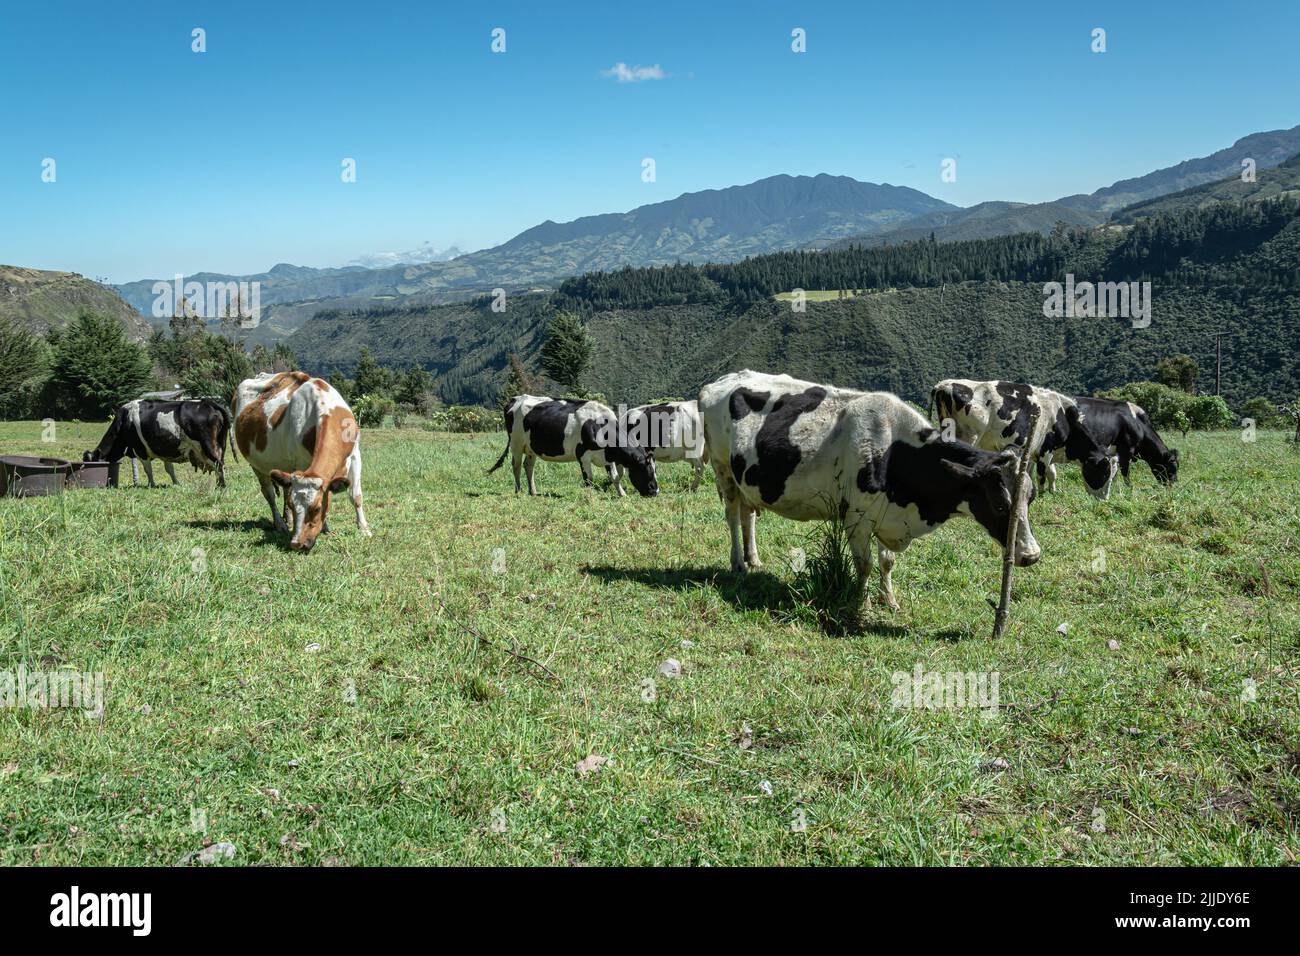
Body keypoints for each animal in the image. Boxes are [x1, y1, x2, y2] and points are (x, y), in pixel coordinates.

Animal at [83, 398, 235, 489]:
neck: (124, 421)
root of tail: (207, 403)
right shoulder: (166, 451)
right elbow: (169, 469)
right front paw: (176, 483)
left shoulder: (140, 451)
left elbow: (148, 470)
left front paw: (152, 484)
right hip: (220, 445)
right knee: (220, 465)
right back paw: (219, 484)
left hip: (206, 445)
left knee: (218, 464)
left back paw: (221, 486)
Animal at [232, 374, 371, 554]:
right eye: (293, 505)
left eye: (317, 508)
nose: (296, 544)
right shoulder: (301, 462)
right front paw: (325, 526)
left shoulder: (355, 456)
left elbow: (356, 496)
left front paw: (364, 529)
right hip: (256, 465)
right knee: (269, 493)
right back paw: (281, 524)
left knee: (285, 487)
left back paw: (288, 520)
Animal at [488, 398, 660, 502]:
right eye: (647, 470)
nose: (655, 491)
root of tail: (516, 398)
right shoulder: (583, 456)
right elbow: (589, 480)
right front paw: (590, 498)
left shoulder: (608, 457)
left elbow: (615, 477)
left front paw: (622, 493)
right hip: (516, 444)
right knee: (516, 466)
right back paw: (519, 490)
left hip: (531, 448)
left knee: (528, 466)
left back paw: (533, 491)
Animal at [696, 369, 1040, 608]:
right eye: (999, 503)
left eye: (1029, 499)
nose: (1032, 555)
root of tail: (721, 381)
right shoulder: (857, 518)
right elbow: (864, 565)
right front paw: (859, 603)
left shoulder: (887, 513)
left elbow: (887, 562)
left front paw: (890, 601)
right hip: (723, 470)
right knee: (732, 515)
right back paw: (739, 563)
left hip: (745, 478)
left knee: (748, 515)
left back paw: (753, 559)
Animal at [925, 379, 1118, 502]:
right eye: (1105, 473)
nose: (1104, 500)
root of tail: (944, 384)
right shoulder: (1045, 451)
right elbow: (1042, 475)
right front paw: (1042, 496)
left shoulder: (1033, 451)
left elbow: (1044, 474)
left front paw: (1048, 492)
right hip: (968, 436)